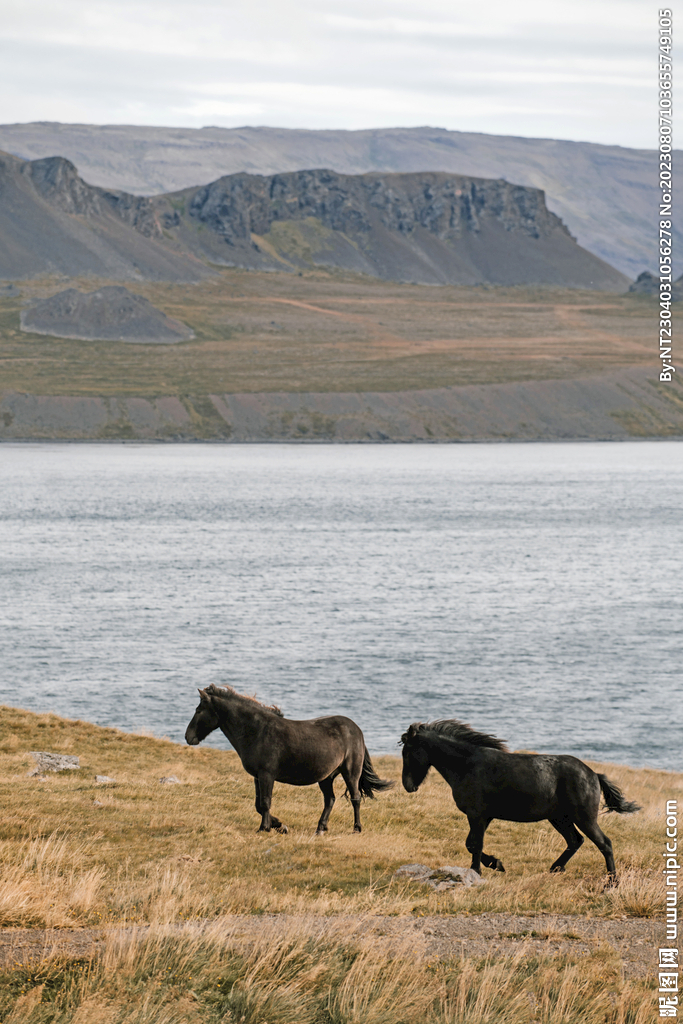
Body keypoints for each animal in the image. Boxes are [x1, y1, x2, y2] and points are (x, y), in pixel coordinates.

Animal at [185, 684, 394, 834]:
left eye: (198, 710)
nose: (188, 737)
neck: (258, 731)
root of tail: (356, 730)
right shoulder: (257, 776)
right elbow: (258, 805)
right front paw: (279, 825)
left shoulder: (266, 775)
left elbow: (265, 802)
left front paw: (265, 828)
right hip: (326, 777)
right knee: (330, 800)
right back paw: (320, 828)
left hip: (350, 772)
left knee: (355, 798)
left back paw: (356, 828)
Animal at [400, 720, 640, 881]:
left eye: (408, 751)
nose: (408, 786)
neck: (468, 765)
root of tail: (593, 775)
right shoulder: (483, 817)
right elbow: (471, 844)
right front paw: (496, 864)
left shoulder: (477, 815)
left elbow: (475, 844)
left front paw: (479, 870)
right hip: (560, 818)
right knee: (575, 841)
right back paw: (555, 869)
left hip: (584, 818)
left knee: (604, 844)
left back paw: (611, 882)